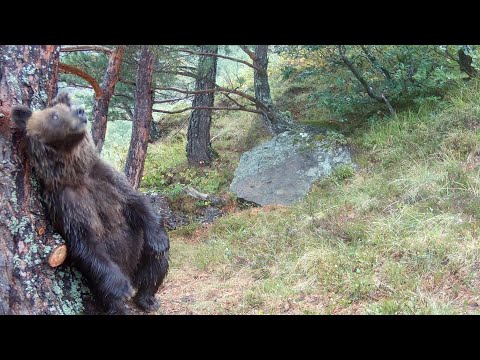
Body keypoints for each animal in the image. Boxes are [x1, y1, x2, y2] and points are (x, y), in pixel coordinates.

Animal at [11, 93, 171, 316]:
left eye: (69, 106)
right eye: (54, 115)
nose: (80, 111)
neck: (76, 173)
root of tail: (132, 272)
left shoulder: (107, 178)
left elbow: (137, 203)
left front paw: (158, 240)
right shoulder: (66, 204)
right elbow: (85, 243)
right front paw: (121, 287)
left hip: (140, 254)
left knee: (156, 264)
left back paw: (147, 298)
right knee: (105, 290)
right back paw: (121, 305)